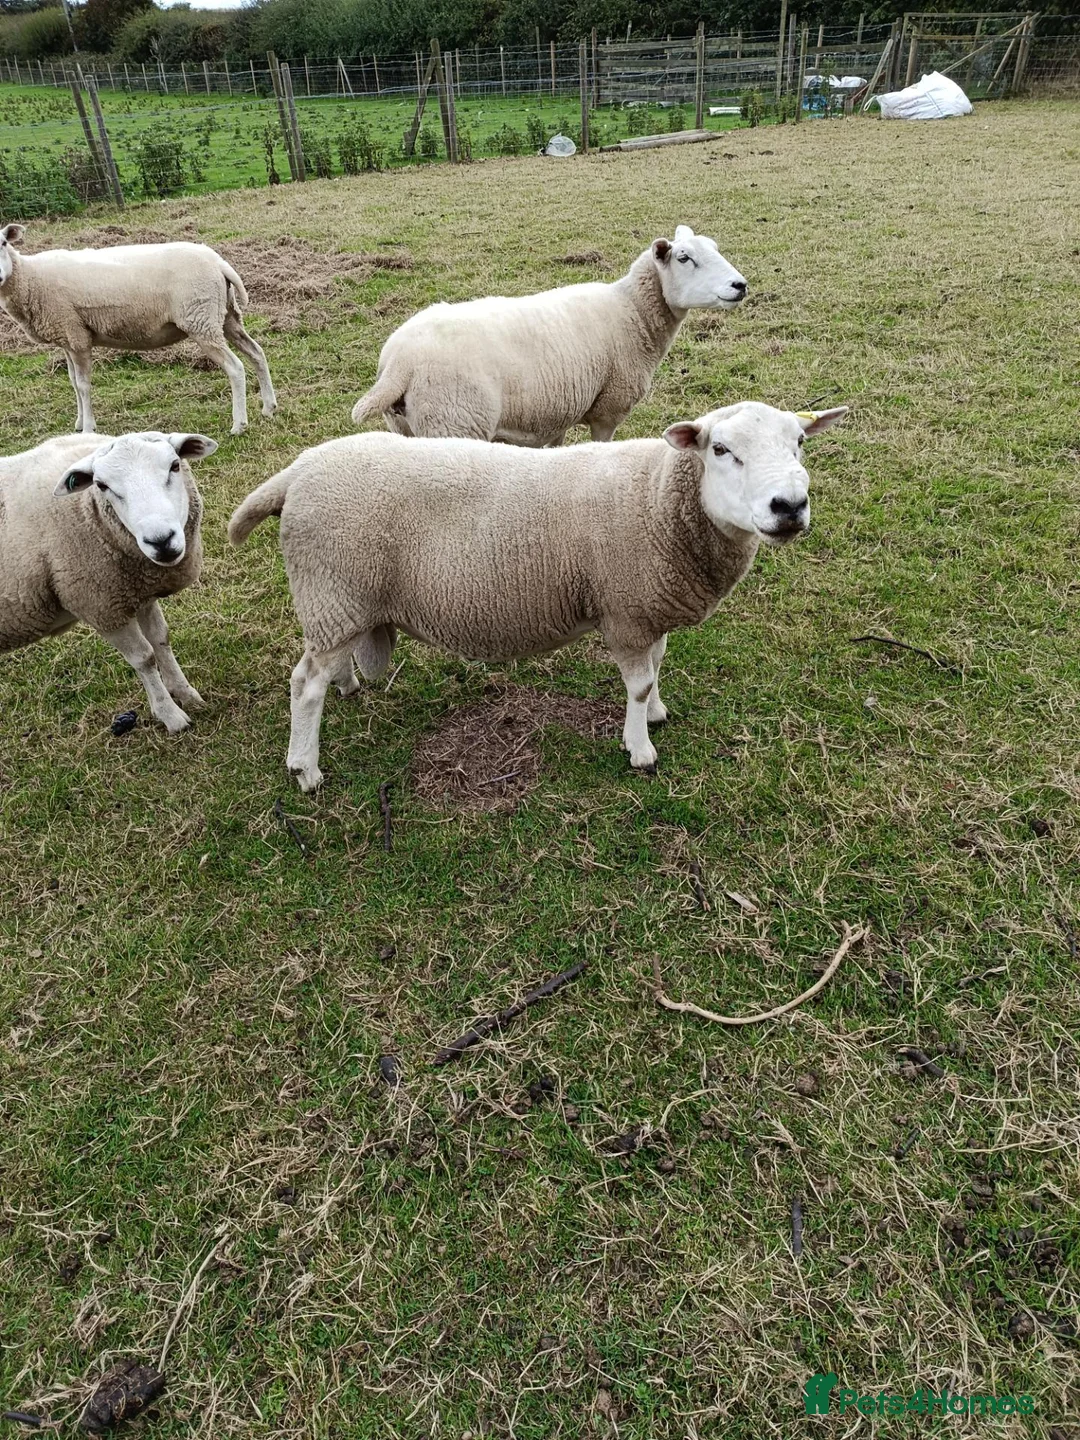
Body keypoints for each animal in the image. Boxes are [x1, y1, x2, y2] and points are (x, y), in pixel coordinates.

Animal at [0, 224, 277, 436]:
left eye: (3, 243)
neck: (30, 278)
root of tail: (219, 263)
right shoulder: (69, 337)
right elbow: (73, 383)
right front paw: (78, 424)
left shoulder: (76, 336)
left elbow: (83, 385)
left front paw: (88, 428)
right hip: (225, 316)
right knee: (256, 353)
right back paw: (269, 407)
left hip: (201, 319)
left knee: (235, 367)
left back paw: (239, 425)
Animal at [0, 429, 217, 732]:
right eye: (102, 485)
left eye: (175, 465)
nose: (161, 541)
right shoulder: (100, 606)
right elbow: (144, 658)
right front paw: (170, 716)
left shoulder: (137, 591)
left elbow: (161, 639)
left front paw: (186, 694)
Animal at [228, 400, 848, 792]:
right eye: (720, 449)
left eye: (799, 442)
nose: (789, 506)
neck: (658, 498)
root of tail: (298, 473)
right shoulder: (626, 611)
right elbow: (638, 682)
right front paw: (640, 747)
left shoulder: (649, 609)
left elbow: (657, 667)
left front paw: (656, 713)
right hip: (333, 589)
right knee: (304, 685)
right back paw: (306, 769)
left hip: (342, 603)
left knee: (326, 666)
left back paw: (347, 686)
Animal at [350, 226, 747, 446]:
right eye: (684, 258)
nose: (740, 285)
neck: (632, 312)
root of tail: (399, 362)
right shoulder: (608, 409)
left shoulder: (559, 412)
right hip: (453, 423)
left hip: (405, 427)